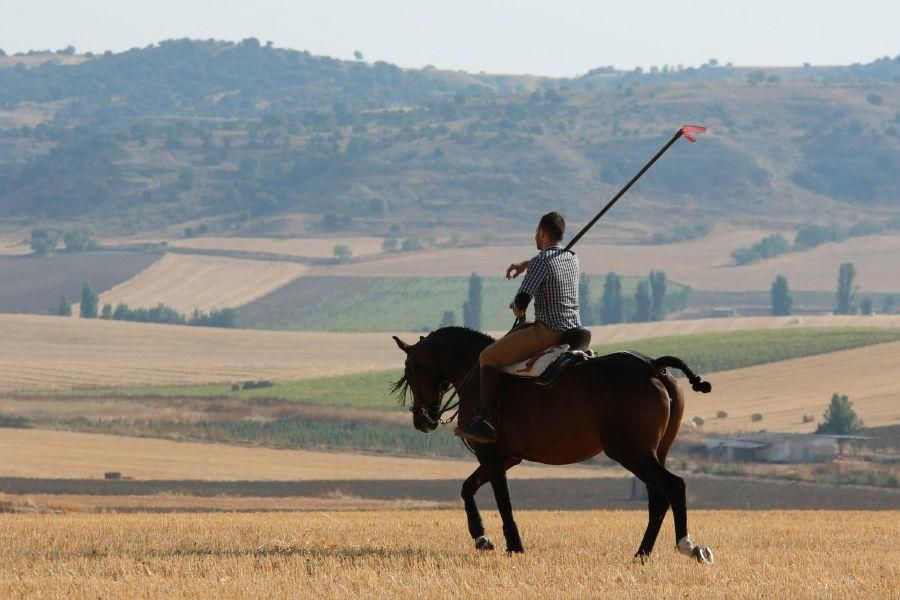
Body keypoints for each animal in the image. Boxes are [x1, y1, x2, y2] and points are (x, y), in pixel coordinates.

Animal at [390, 326, 712, 560]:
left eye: (410, 369)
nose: (422, 420)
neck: (475, 370)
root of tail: (653, 367)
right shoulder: (505, 458)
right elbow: (467, 488)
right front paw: (481, 537)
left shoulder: (491, 457)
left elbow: (502, 501)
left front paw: (513, 546)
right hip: (653, 452)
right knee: (658, 498)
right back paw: (642, 554)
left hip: (633, 453)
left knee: (673, 486)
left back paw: (686, 545)